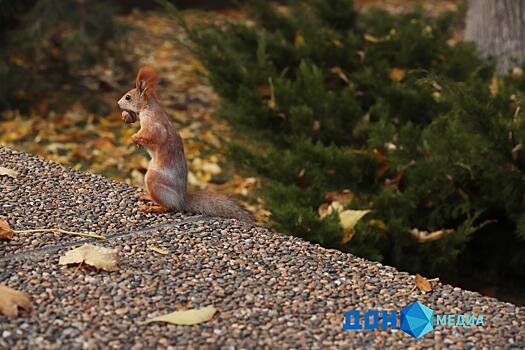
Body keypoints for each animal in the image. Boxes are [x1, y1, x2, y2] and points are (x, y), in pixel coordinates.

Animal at [117, 66, 253, 221]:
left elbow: (152, 136)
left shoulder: (154, 125)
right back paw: (146, 196)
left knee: (168, 206)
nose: (118, 103)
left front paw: (134, 138)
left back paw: (152, 207)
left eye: (128, 97)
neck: (148, 107)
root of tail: (181, 199)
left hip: (154, 180)